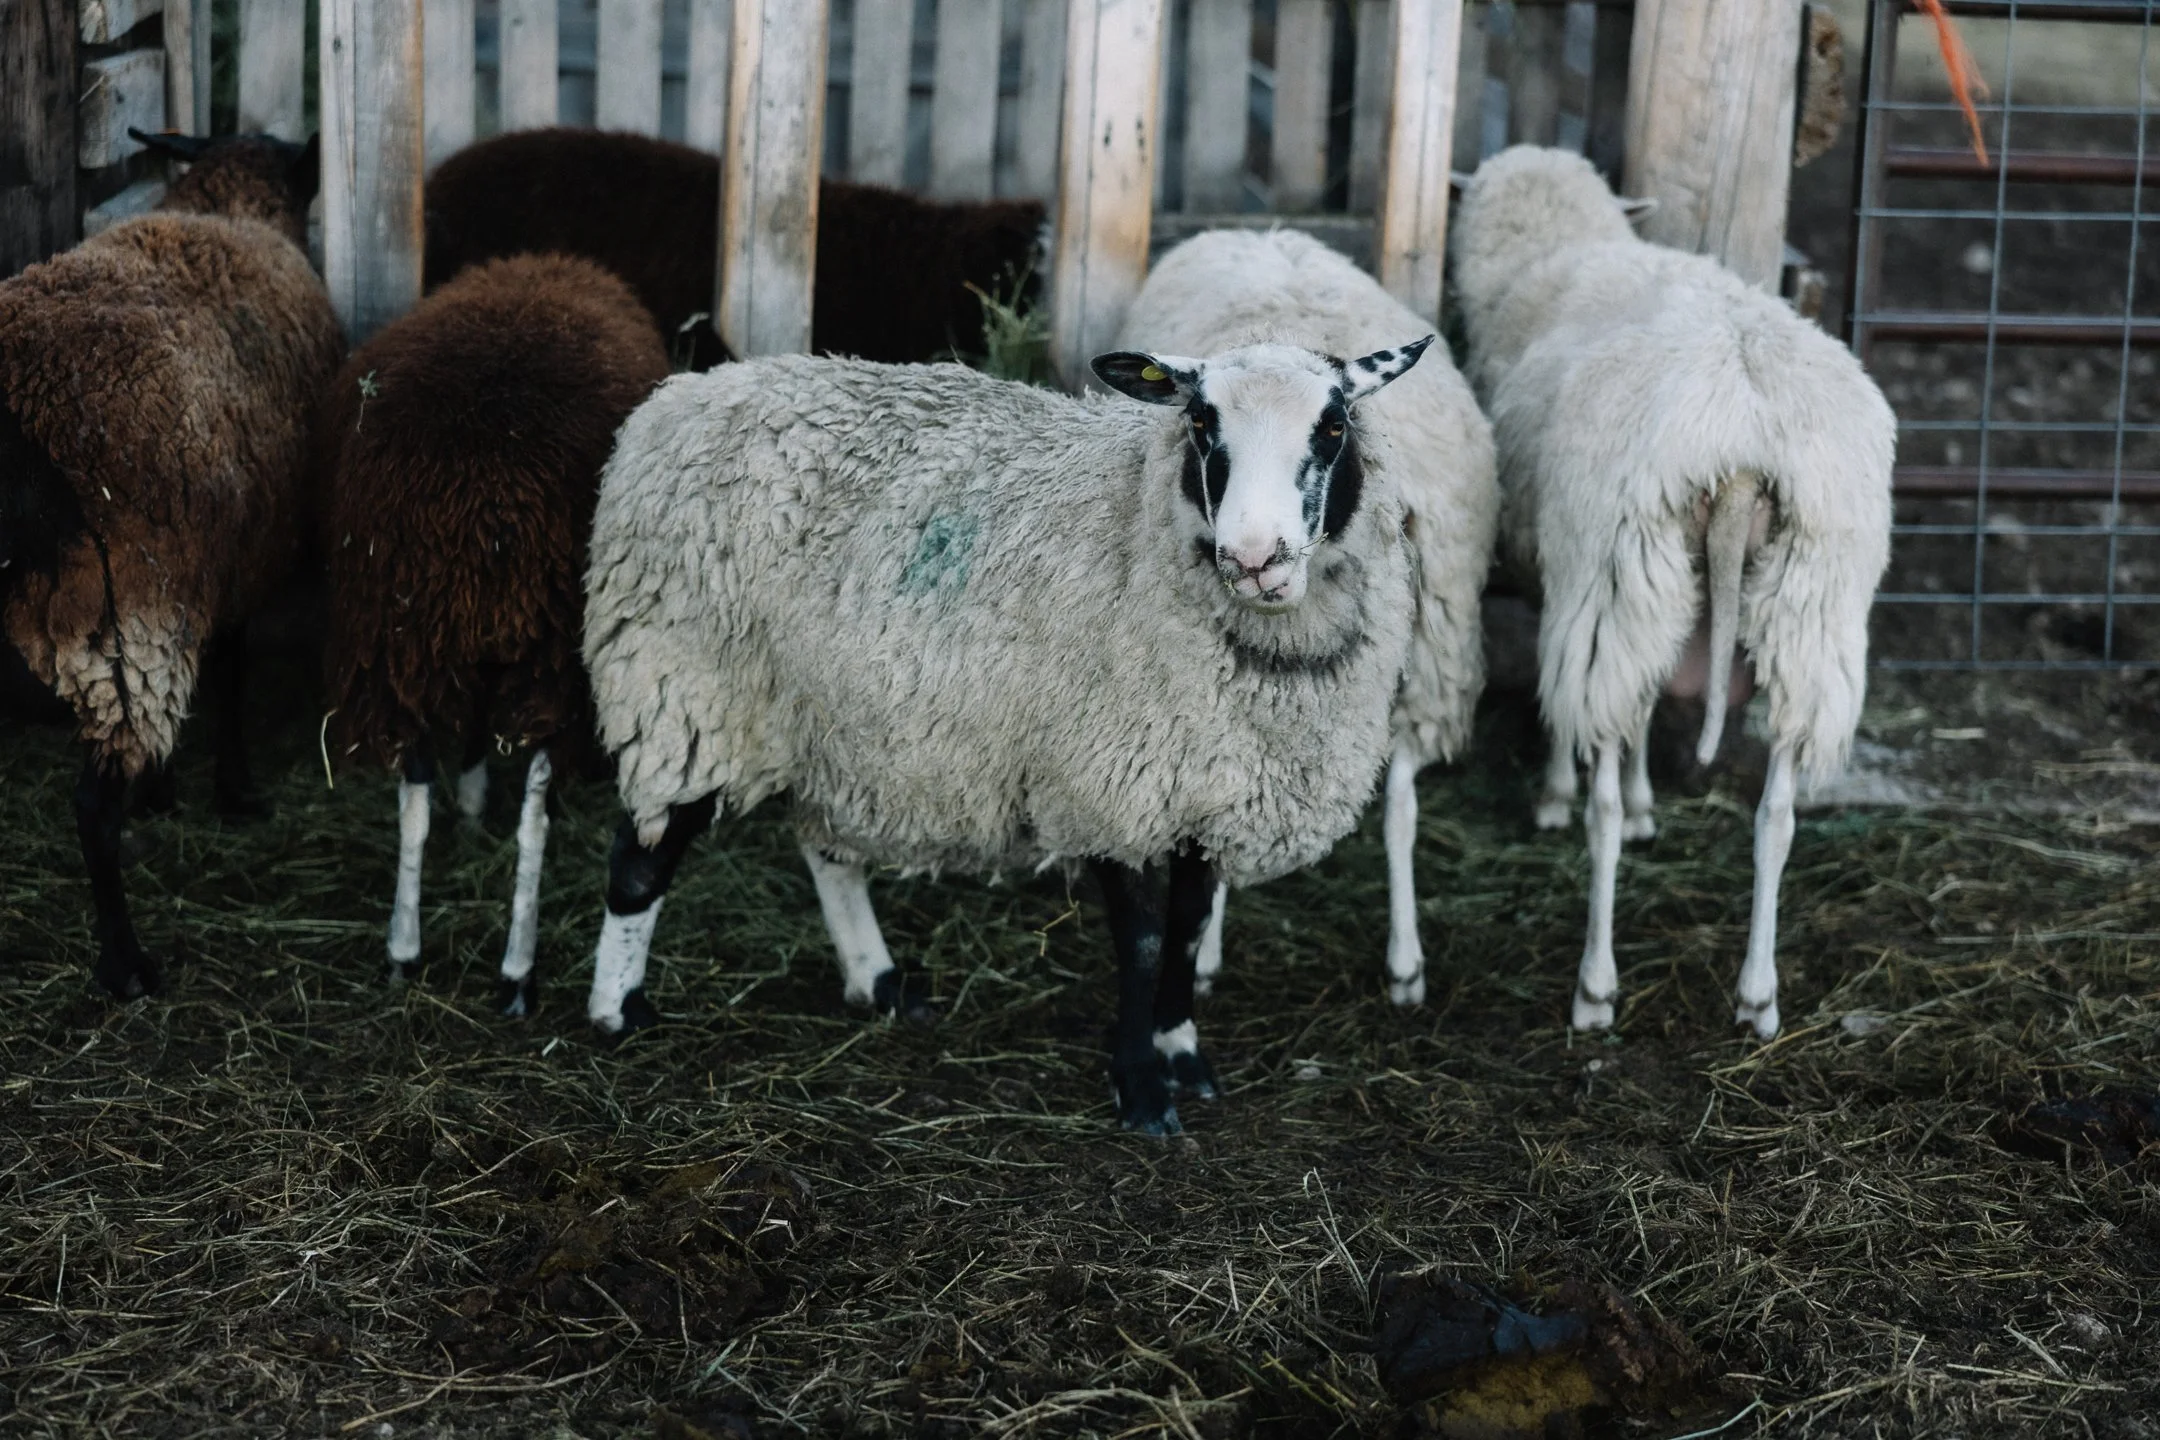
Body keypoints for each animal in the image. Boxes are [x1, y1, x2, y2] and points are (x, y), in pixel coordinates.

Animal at [0, 130, 343, 999]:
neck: (227, 208)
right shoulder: (230, 564)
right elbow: (233, 670)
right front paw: (231, 789)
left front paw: (168, 791)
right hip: (123, 610)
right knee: (93, 808)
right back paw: (126, 966)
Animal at [318, 253, 671, 1008]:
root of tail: (489, 488)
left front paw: (472, 798)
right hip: (557, 664)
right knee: (534, 816)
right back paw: (517, 970)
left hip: (404, 646)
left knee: (414, 796)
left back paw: (404, 950)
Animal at [577, 340, 1434, 1133]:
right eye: (1199, 421)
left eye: (1334, 425)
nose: (1254, 557)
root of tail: (684, 394)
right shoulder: (1111, 783)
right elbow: (1144, 943)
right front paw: (1141, 1092)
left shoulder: (1203, 794)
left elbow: (1188, 933)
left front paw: (1182, 1055)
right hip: (683, 686)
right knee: (641, 859)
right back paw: (619, 1011)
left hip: (830, 716)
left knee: (824, 847)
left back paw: (879, 980)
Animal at [1115, 227, 1499, 1006]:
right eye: (1198, 420)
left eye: (1333, 425)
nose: (1253, 557)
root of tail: (1259, 232)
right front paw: (1201, 954)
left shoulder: (1416, 657)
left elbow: (1402, 806)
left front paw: (1406, 962)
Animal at [1451, 146, 1895, 1039]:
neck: (1558, 252)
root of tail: (1743, 438)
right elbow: (1651, 703)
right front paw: (1650, 803)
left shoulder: (1571, 572)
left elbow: (1586, 717)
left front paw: (1563, 792)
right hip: (1810, 603)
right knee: (1777, 814)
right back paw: (1758, 996)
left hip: (1619, 566)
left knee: (1601, 800)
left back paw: (1595, 985)